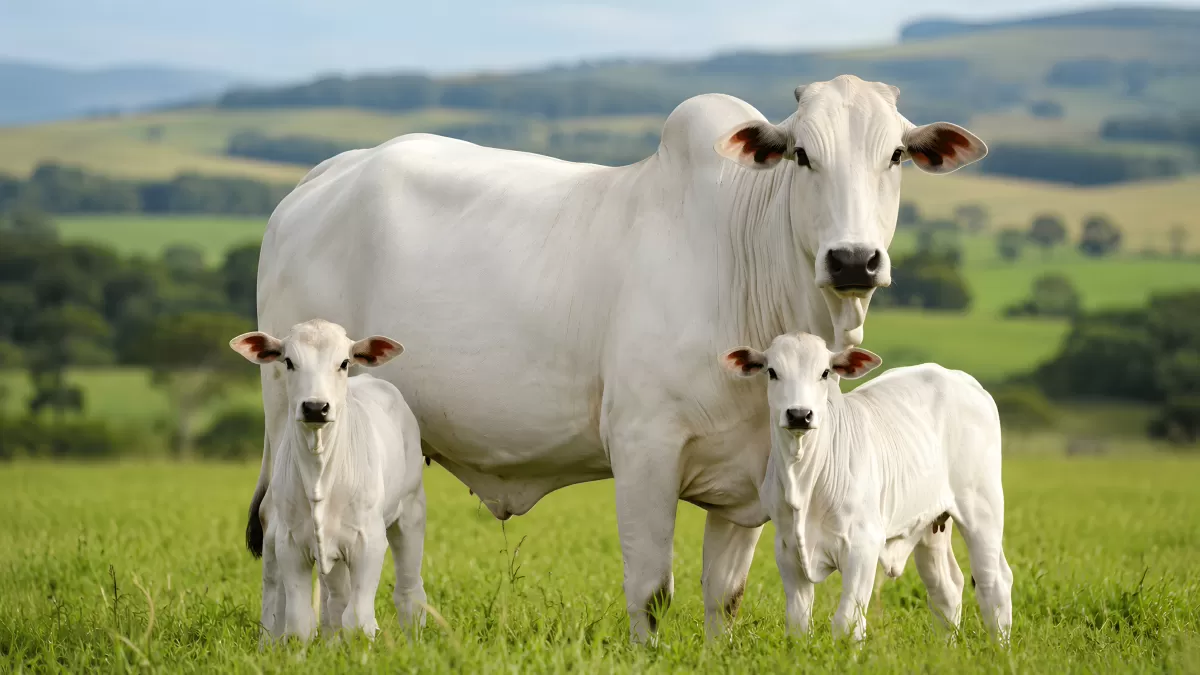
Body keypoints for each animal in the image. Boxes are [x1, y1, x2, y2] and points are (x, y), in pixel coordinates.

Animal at [231, 320, 427, 641]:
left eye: (344, 362)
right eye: (288, 361)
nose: (314, 407)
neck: (319, 472)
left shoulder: (369, 542)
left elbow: (358, 621)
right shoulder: (290, 544)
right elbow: (300, 623)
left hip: (411, 511)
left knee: (408, 590)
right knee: (335, 600)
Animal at [720, 333, 1012, 643]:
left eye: (825, 372)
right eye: (772, 372)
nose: (799, 414)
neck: (804, 477)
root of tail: (963, 380)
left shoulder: (862, 547)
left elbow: (846, 622)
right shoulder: (788, 549)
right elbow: (798, 624)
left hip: (982, 509)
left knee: (994, 582)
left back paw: (999, 647)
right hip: (932, 524)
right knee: (947, 588)